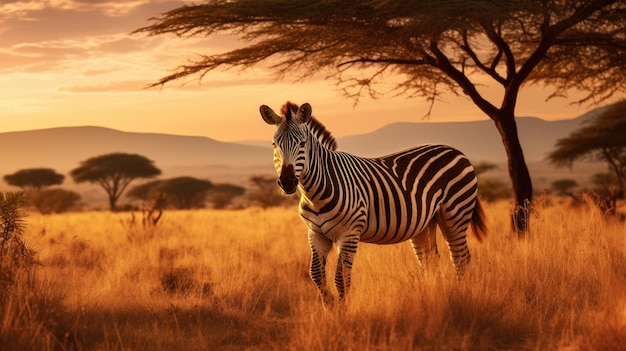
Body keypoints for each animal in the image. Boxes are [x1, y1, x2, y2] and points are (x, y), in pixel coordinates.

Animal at [258, 101, 482, 306]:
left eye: (302, 143)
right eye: (274, 145)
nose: (287, 182)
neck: (316, 194)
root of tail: (456, 150)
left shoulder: (349, 234)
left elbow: (341, 279)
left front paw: (342, 313)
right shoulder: (316, 234)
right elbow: (316, 275)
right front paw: (329, 307)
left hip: (455, 213)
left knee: (461, 259)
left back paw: (461, 298)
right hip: (424, 224)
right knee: (430, 261)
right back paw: (432, 298)